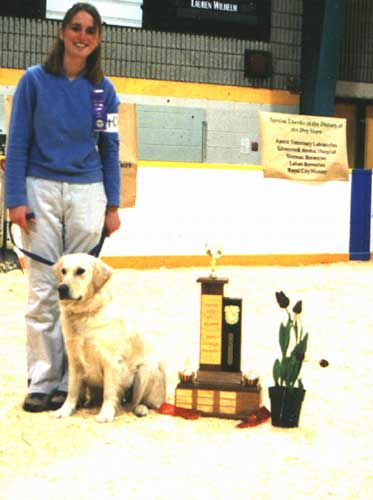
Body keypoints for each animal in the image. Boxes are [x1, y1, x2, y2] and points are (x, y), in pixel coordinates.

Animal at [52, 254, 166, 422]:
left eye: (80, 271)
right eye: (63, 271)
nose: (61, 288)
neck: (85, 314)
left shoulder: (111, 362)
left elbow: (109, 391)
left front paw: (105, 414)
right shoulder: (74, 361)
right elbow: (72, 391)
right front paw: (64, 410)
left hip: (145, 370)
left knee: (142, 403)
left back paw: (140, 408)